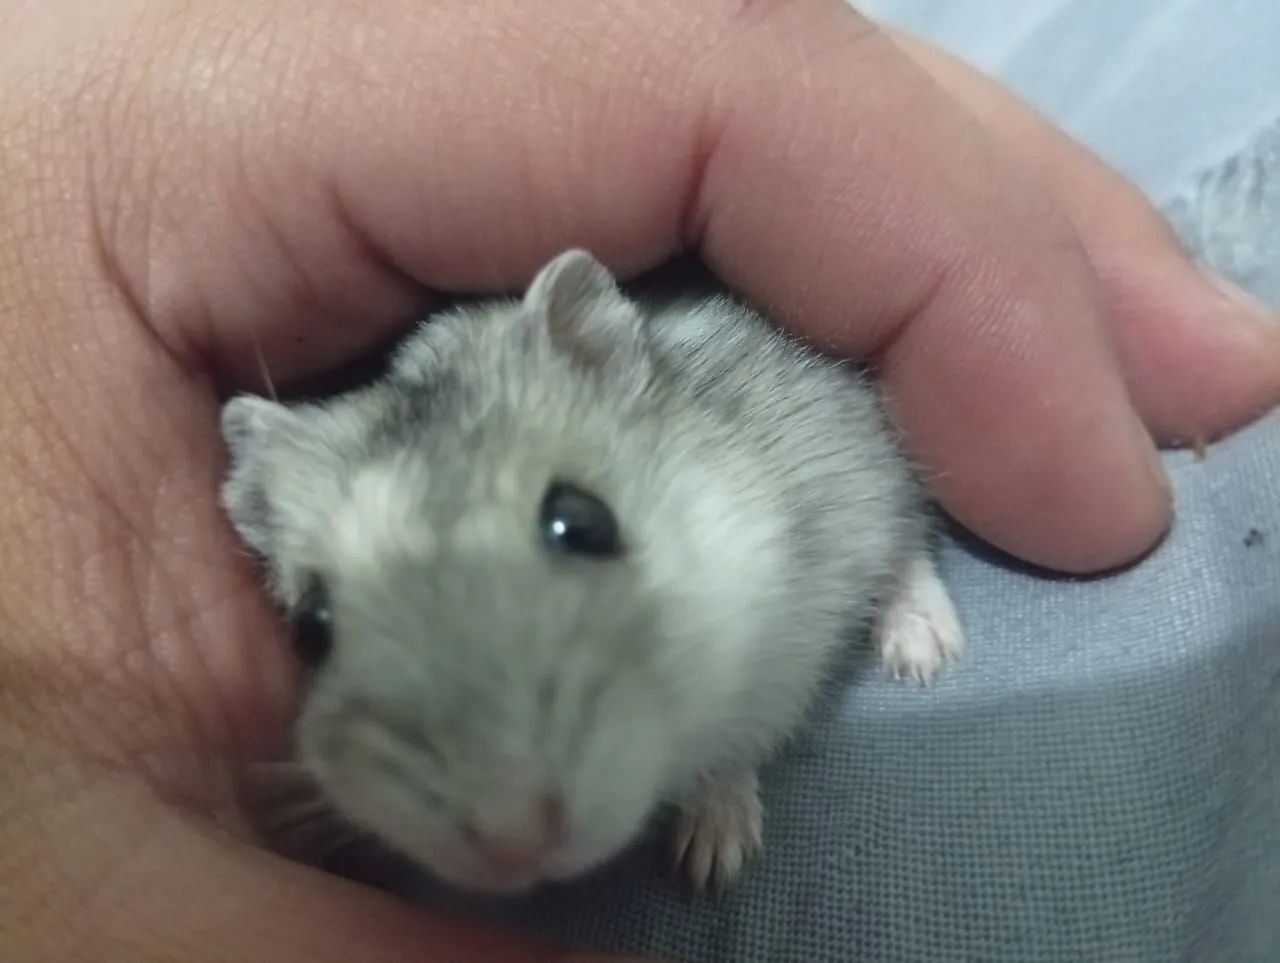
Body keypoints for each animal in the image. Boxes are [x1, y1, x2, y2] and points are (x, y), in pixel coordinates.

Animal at [219, 249, 965, 896]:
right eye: (311, 628)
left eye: (582, 522)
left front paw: (712, 865)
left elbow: (735, 746)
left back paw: (926, 652)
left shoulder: (788, 636)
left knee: (908, 543)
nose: (512, 842)